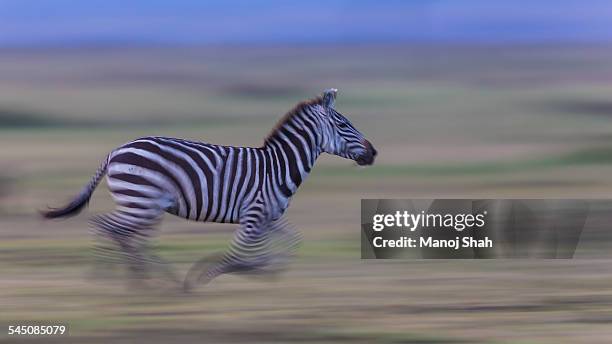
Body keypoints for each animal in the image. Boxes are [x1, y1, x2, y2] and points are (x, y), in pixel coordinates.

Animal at [41, 89, 372, 290]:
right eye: (343, 125)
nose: (374, 153)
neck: (277, 166)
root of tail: (114, 151)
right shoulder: (253, 216)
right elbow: (238, 255)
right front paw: (204, 276)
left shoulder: (269, 217)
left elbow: (289, 244)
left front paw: (267, 272)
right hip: (141, 201)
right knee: (107, 227)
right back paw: (108, 278)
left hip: (145, 205)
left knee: (128, 237)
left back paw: (146, 279)